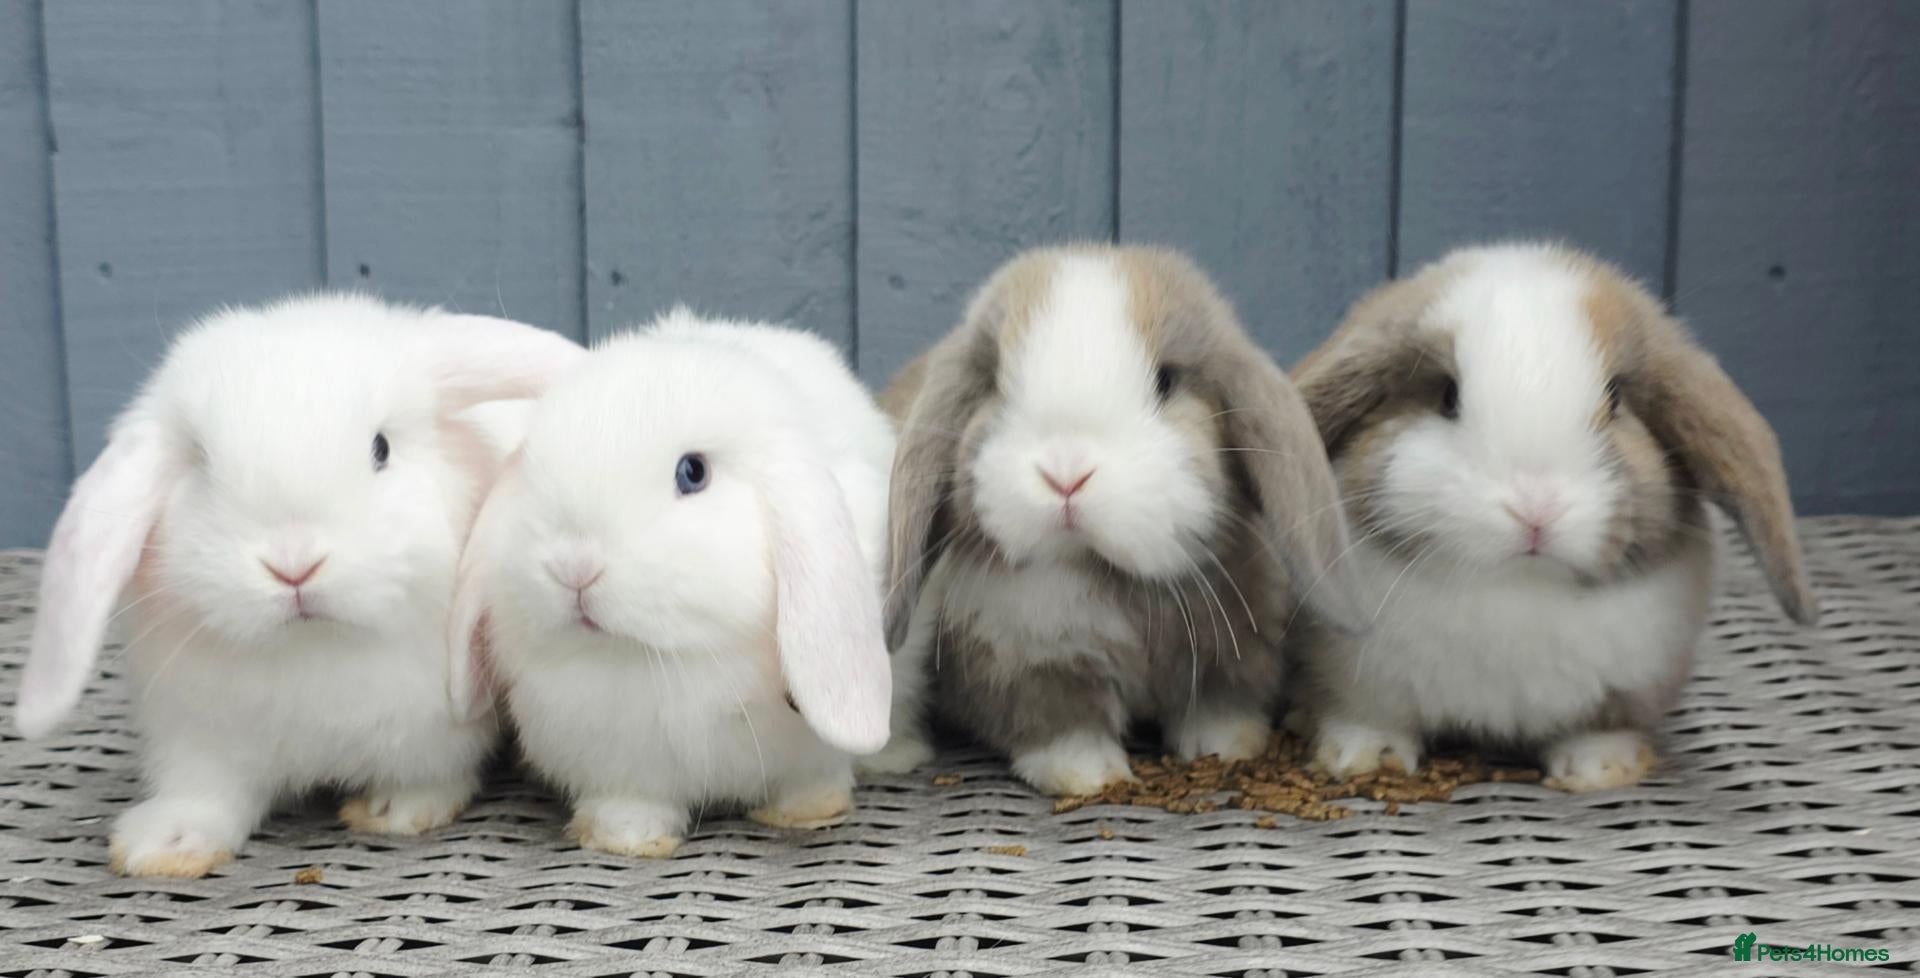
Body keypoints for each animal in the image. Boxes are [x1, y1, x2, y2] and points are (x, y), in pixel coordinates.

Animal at [13, 294, 585, 877]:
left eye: (381, 448)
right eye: (200, 462)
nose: (294, 565)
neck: (311, 644)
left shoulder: (437, 733)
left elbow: (429, 775)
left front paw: (393, 810)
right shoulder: (197, 737)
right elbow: (206, 793)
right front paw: (166, 846)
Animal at [446, 308, 894, 859]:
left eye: (692, 472)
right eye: (532, 468)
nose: (574, 566)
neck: (660, 661)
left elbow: (811, 779)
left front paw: (808, 812)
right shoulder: (622, 765)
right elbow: (631, 805)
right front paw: (626, 840)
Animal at [875, 244, 1359, 797]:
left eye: (1166, 380)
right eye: (995, 384)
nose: (1066, 474)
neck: (1113, 579)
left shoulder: (1231, 643)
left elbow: (1220, 705)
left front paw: (1230, 747)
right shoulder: (1030, 663)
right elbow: (1065, 725)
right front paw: (1088, 776)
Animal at [1287, 241, 1818, 792]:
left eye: (1615, 397)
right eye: (1447, 396)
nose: (1535, 508)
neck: (1517, 589)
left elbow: (1598, 730)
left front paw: (1601, 768)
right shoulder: (1358, 675)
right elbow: (1368, 716)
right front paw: (1362, 756)